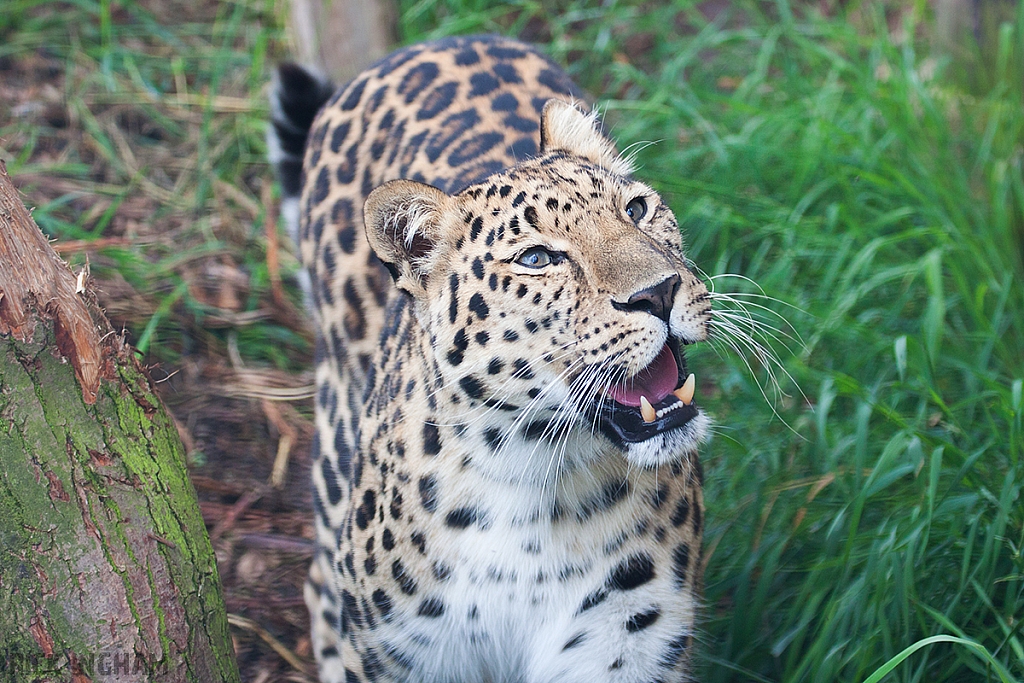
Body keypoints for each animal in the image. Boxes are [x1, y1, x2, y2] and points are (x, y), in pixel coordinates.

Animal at [270, 34, 712, 683]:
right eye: (537, 259)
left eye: (635, 210)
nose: (658, 292)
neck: (534, 489)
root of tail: (426, 44)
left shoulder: (623, 645)